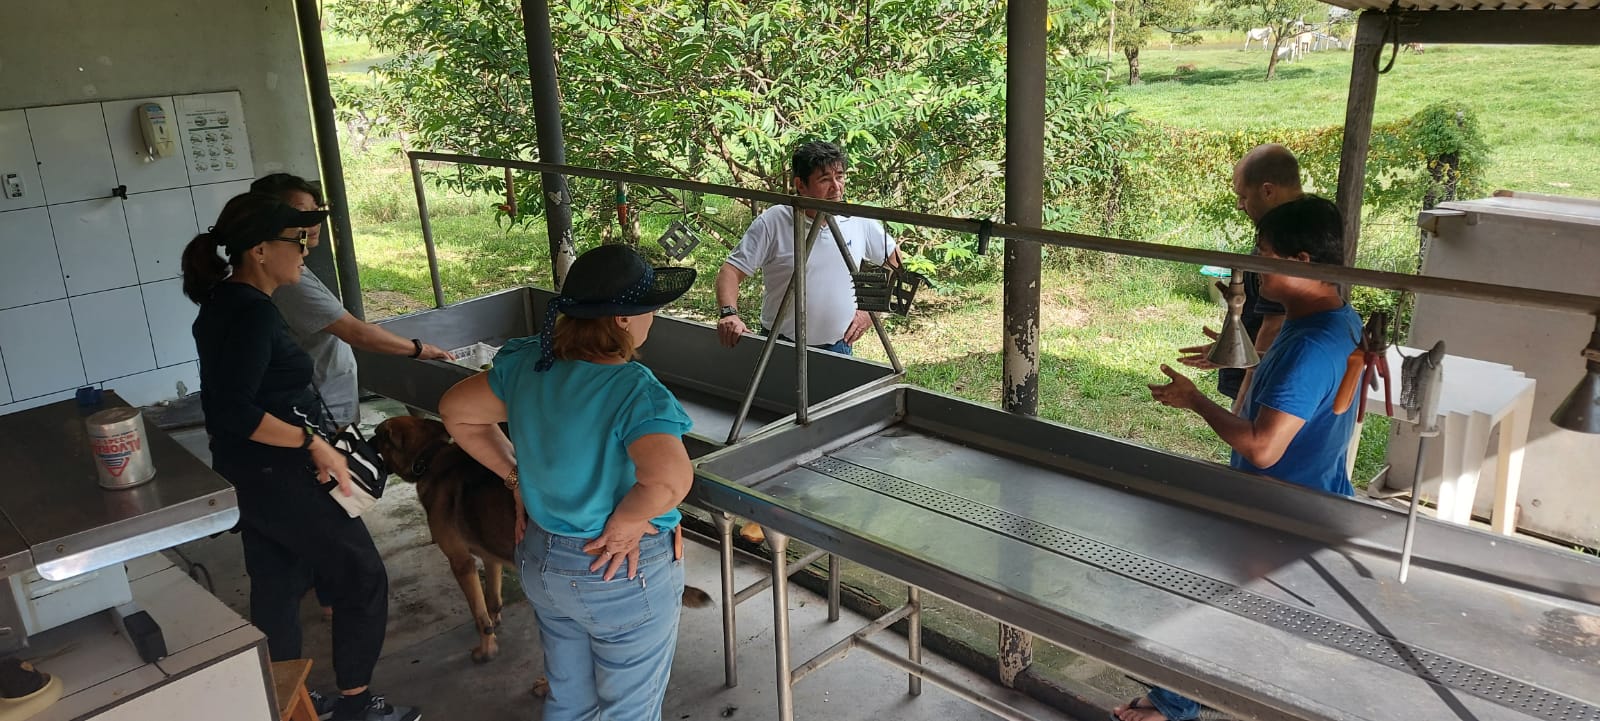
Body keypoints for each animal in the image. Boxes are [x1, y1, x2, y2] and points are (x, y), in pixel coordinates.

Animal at [374, 418, 713, 677]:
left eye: (378, 436)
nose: (362, 441)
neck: (430, 457)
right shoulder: (489, 557)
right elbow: (493, 600)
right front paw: (496, 622)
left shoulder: (460, 562)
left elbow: (479, 616)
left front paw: (486, 650)